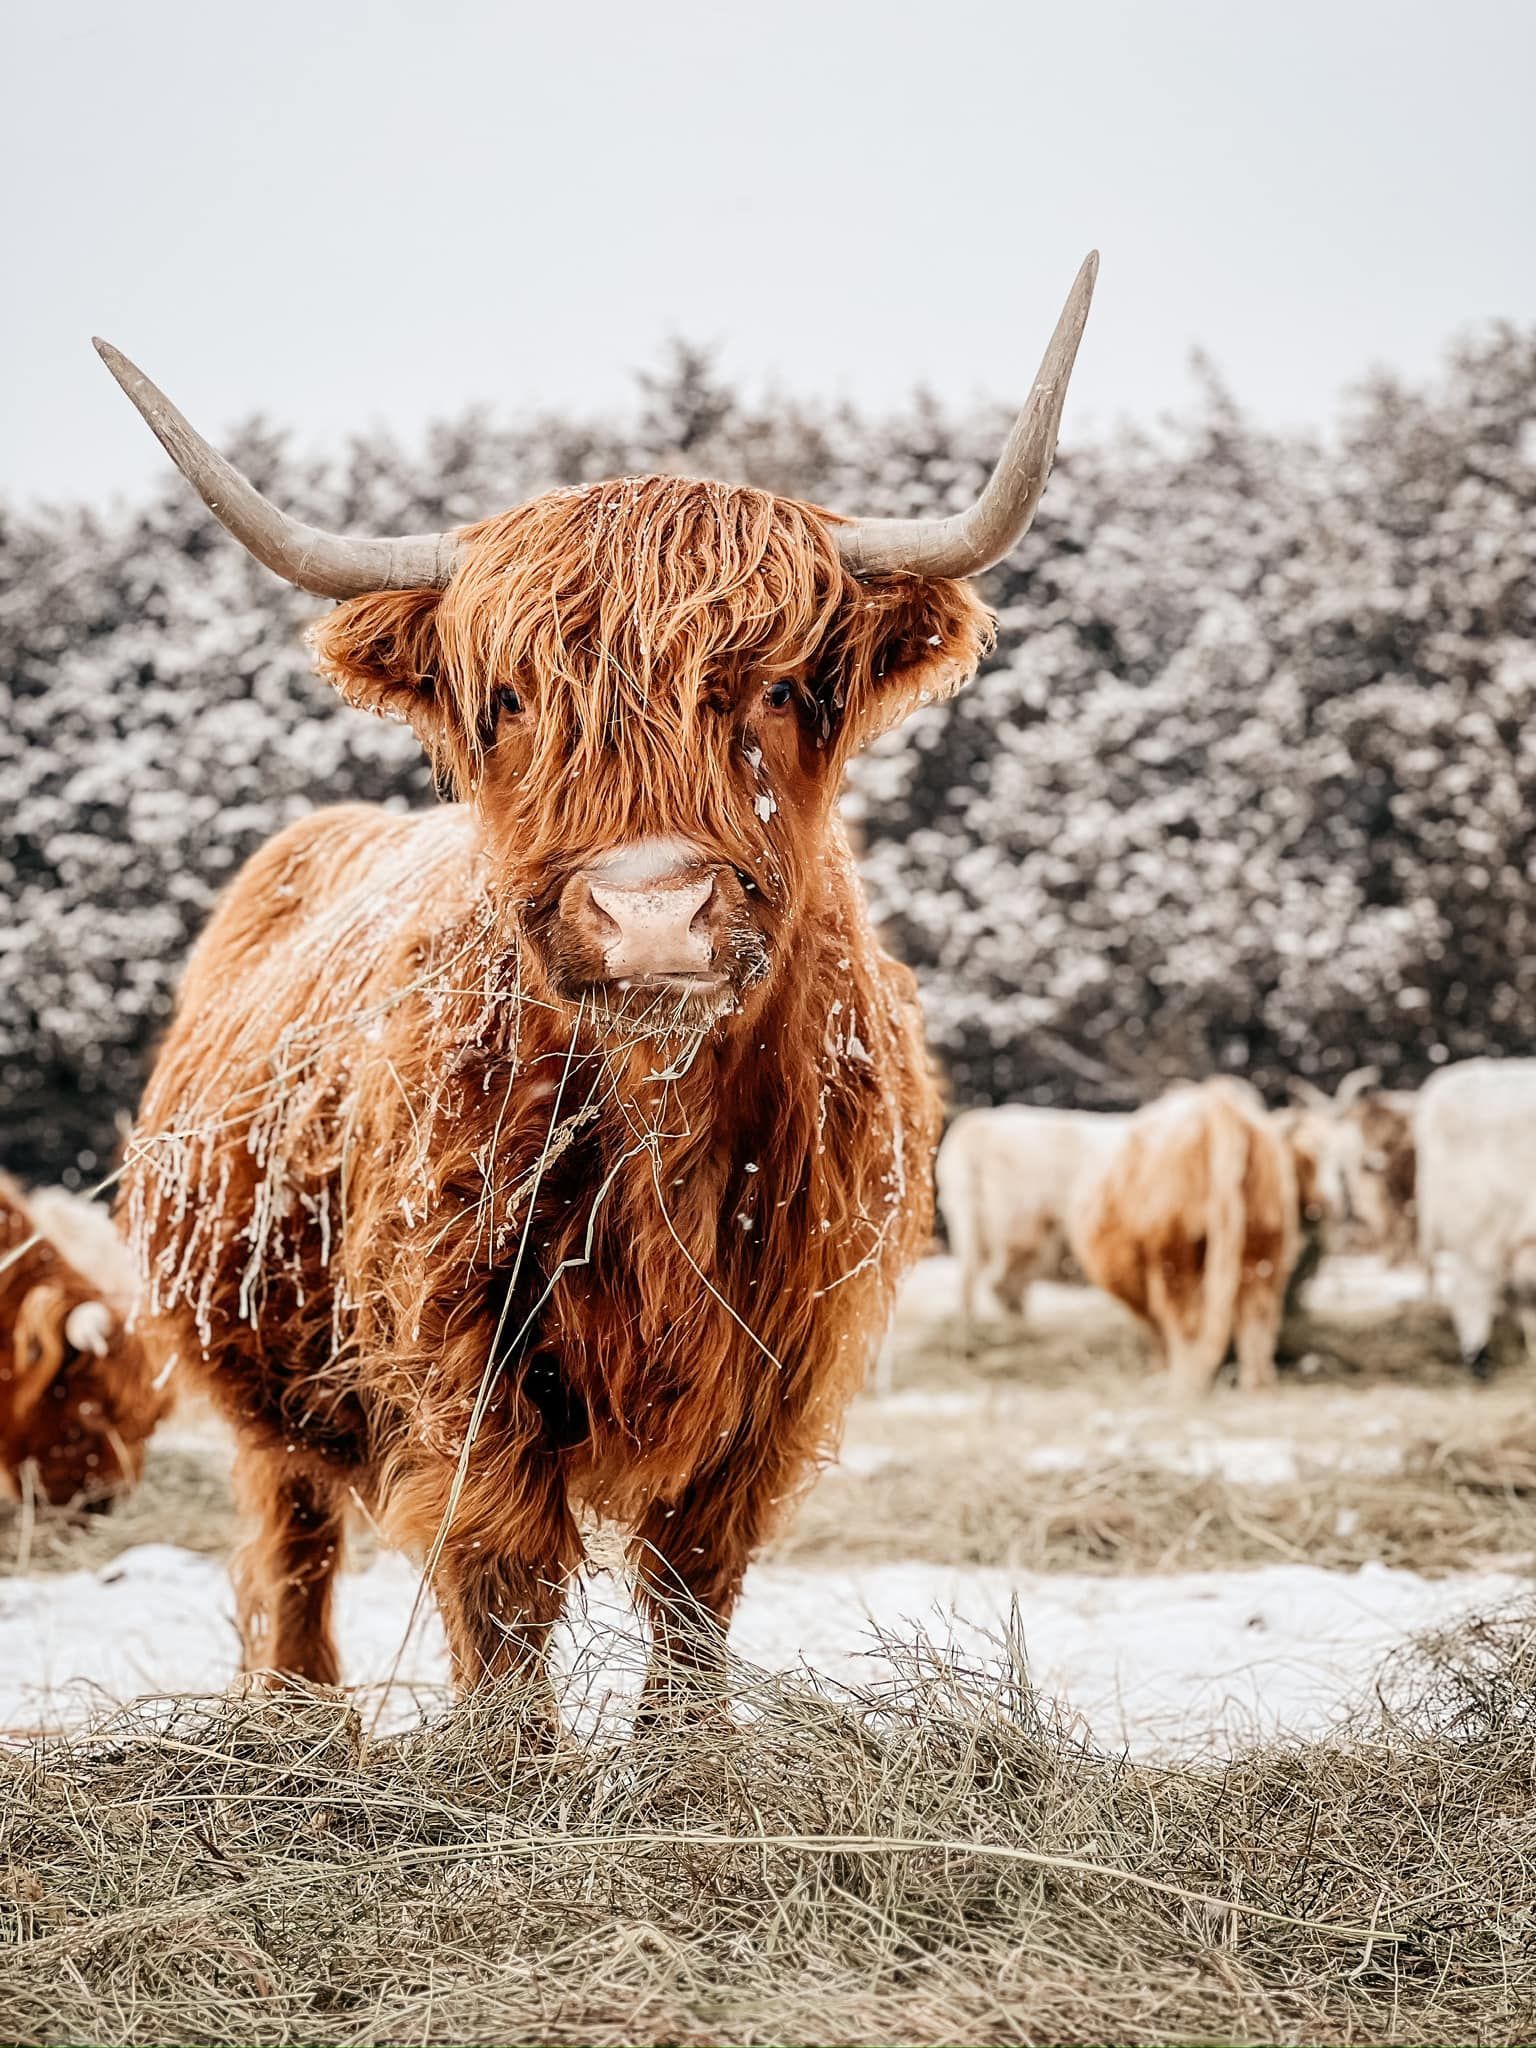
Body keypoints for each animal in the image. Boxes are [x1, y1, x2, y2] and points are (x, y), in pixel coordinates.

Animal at [100, 257, 1099, 1714]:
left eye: (780, 689)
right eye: (511, 699)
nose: (650, 911)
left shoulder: (774, 1369)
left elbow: (693, 1585)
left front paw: (689, 1753)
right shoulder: (459, 1354)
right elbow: (502, 1581)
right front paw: (513, 1753)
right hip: (260, 1372)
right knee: (290, 1540)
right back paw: (297, 1717)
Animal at [1069, 1078, 1299, 1397]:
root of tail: (1218, 1101)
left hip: (1176, 1250)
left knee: (1185, 1318)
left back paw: (1183, 1387)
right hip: (1265, 1239)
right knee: (1258, 1315)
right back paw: (1258, 1386)